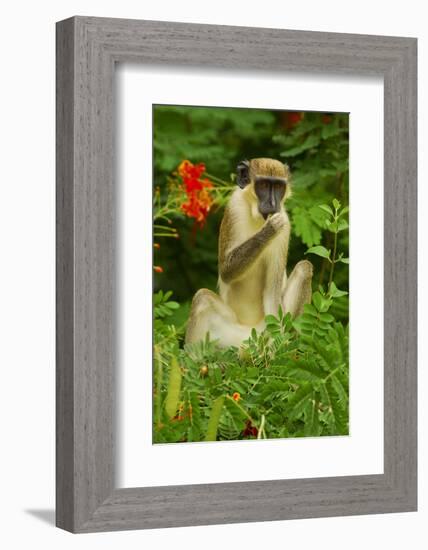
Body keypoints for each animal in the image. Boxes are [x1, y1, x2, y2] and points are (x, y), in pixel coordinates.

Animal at [186, 157, 312, 348]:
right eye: (264, 185)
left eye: (278, 186)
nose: (272, 204)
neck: (257, 217)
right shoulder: (234, 207)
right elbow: (226, 271)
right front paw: (269, 230)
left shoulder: (285, 225)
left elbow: (272, 293)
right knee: (202, 299)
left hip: (265, 330)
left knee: (305, 268)